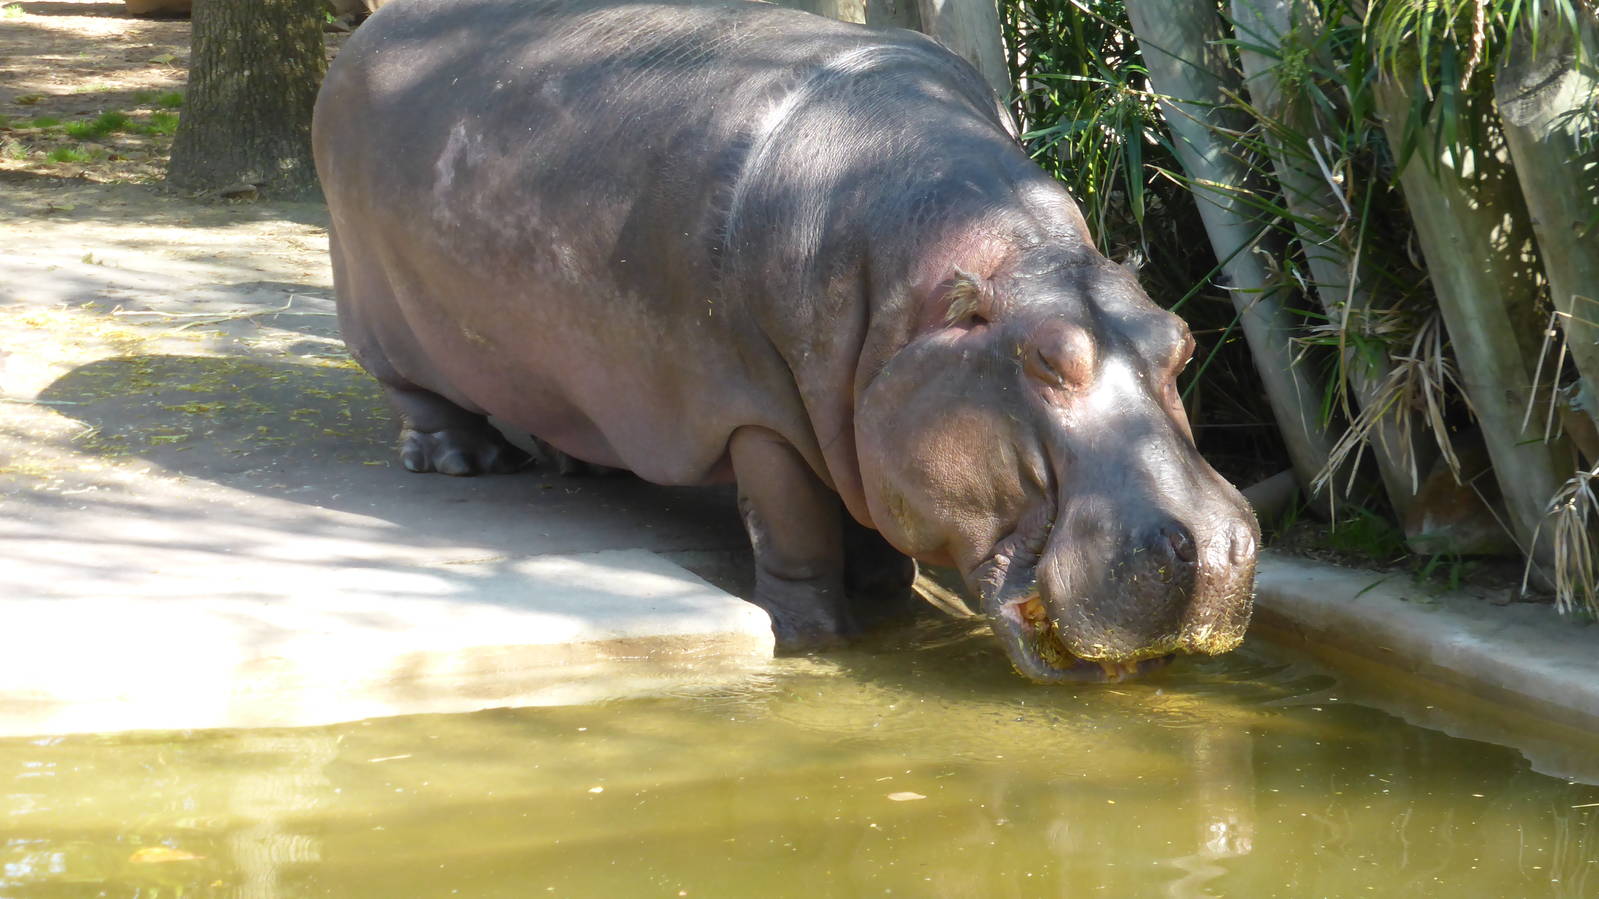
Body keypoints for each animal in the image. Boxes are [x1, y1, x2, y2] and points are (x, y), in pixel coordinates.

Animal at [312, 0, 1260, 682]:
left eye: (1178, 341)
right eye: (1045, 357)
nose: (1217, 548)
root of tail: (368, 32)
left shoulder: (857, 405)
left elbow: (866, 499)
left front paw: (886, 595)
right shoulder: (757, 408)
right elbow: (794, 522)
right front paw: (821, 636)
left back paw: (582, 465)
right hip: (376, 311)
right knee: (419, 394)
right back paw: (462, 461)